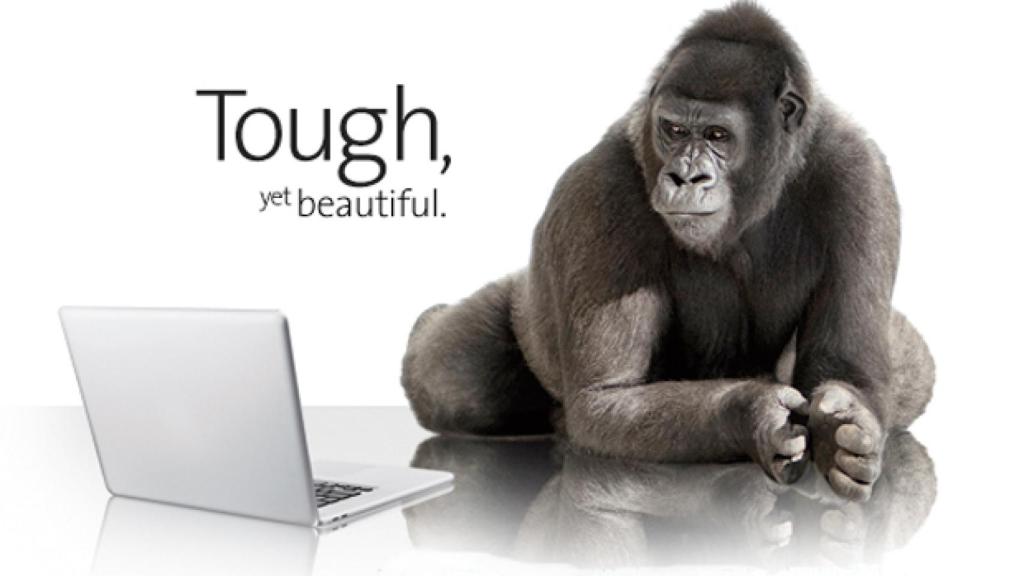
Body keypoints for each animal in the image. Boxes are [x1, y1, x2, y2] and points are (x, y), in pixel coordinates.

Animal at [401, 2, 934, 501]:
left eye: (717, 136)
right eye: (674, 130)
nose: (685, 176)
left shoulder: (860, 173)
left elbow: (847, 370)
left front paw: (846, 431)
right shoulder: (597, 191)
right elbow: (606, 400)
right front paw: (752, 414)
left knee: (912, 367)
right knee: (451, 378)